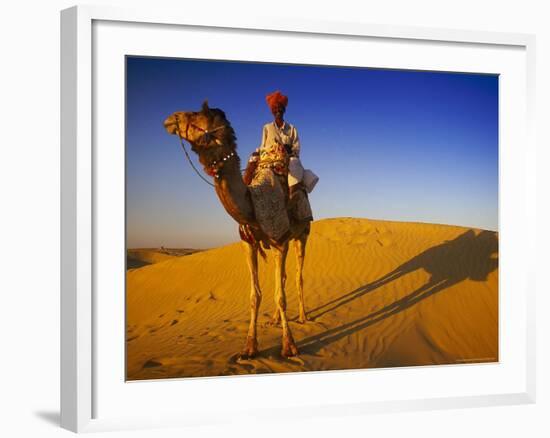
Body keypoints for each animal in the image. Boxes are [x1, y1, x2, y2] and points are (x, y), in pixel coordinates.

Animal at [163, 101, 310, 358]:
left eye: (198, 115)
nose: (172, 118)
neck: (253, 201)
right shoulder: (249, 242)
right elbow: (255, 295)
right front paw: (249, 347)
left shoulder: (279, 239)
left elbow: (281, 296)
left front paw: (289, 346)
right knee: (282, 277)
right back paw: (274, 319)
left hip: (301, 234)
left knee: (298, 275)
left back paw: (302, 317)